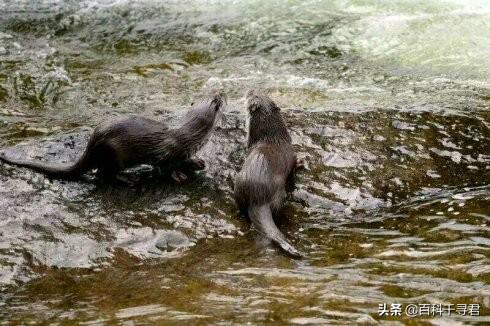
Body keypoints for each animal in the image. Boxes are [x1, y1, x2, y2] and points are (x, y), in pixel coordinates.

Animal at [0, 93, 226, 182]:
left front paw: (196, 162)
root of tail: (92, 145)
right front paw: (178, 175)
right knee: (104, 175)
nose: (222, 92)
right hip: (114, 153)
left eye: (213, 94)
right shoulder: (167, 153)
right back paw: (129, 178)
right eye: (218, 100)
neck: (186, 137)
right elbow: (164, 168)